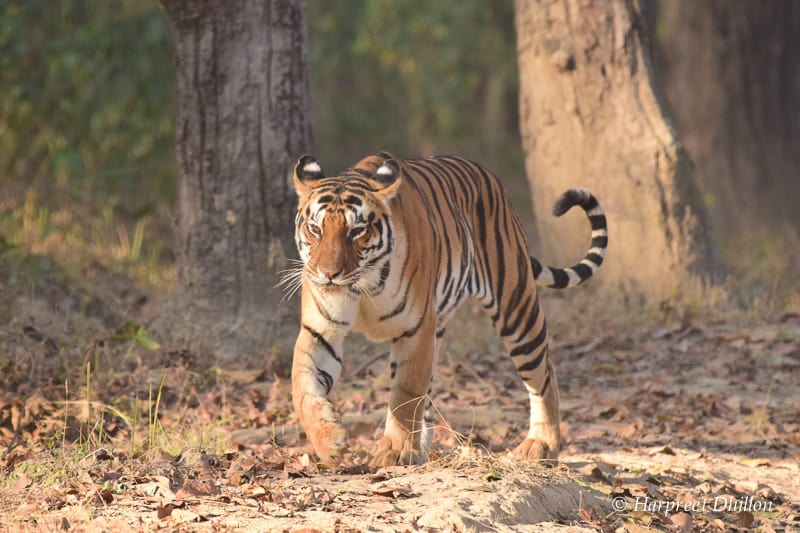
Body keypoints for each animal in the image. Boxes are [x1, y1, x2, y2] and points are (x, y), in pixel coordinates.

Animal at [288, 151, 608, 466]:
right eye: (315, 229)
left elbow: (405, 395)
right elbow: (302, 386)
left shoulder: (416, 329)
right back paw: (420, 452)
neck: (361, 286)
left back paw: (541, 445)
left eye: (357, 231)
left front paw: (394, 451)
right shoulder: (320, 331)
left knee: (544, 375)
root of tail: (490, 178)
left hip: (517, 309)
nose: (328, 274)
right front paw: (328, 441)